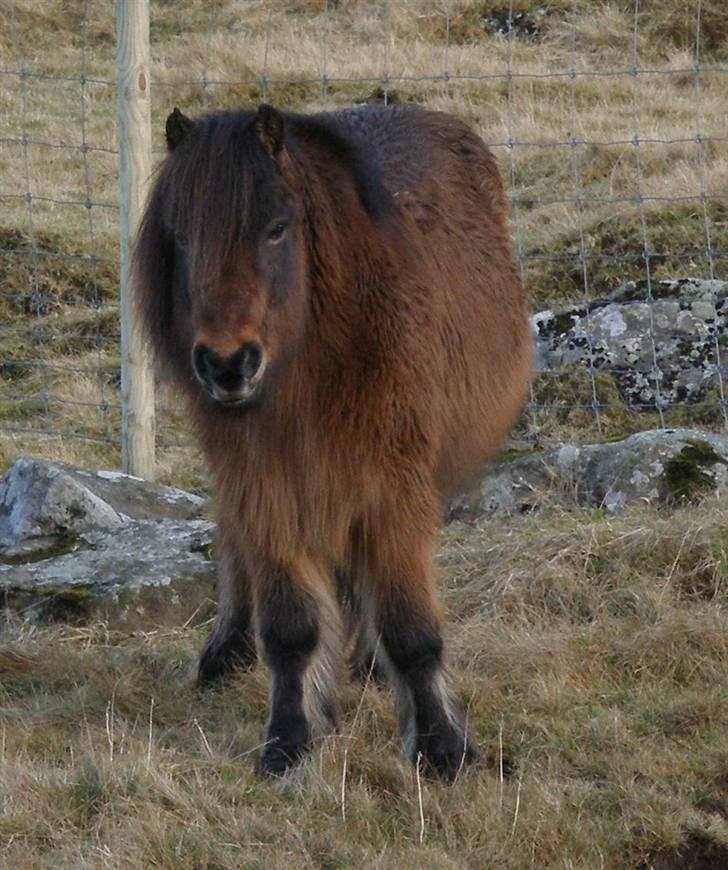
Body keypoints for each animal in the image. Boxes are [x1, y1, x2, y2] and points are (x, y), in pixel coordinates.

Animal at [134, 104, 532, 784]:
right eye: (180, 235)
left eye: (275, 229)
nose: (227, 364)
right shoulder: (265, 486)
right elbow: (290, 630)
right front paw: (289, 740)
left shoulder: (391, 487)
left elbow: (409, 626)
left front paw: (441, 748)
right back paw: (227, 649)